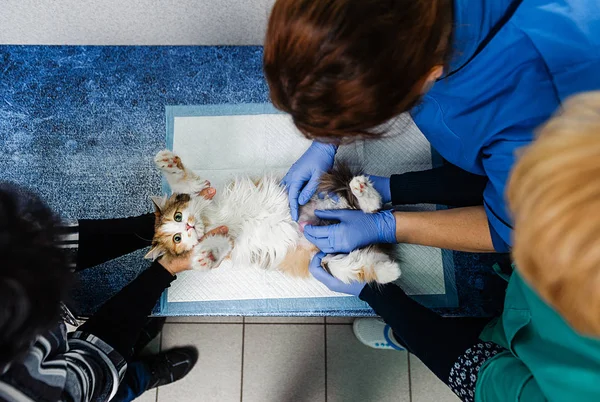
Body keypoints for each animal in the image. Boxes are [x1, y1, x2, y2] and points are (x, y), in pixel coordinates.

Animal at [143, 150, 400, 286]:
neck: (208, 221)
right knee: (355, 266)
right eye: (177, 239)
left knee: (372, 206)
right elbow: (217, 245)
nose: (188, 226)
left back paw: (362, 190)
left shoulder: (206, 192)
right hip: (322, 259)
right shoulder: (229, 239)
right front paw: (206, 255)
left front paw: (167, 162)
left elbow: (185, 182)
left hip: (326, 198)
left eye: (178, 216)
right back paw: (389, 271)